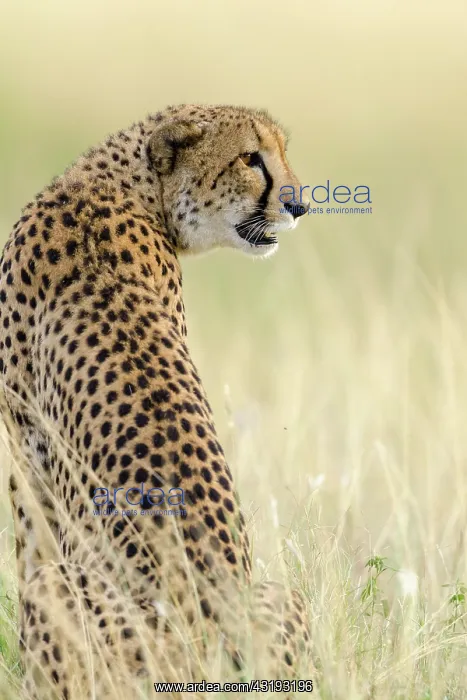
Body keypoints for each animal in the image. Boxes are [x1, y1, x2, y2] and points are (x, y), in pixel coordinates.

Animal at [0, 103, 311, 699]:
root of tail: (201, 648)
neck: (122, 181)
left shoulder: (26, 452)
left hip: (72, 599)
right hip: (277, 598)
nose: (299, 205)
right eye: (251, 158)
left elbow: (27, 548)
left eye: (281, 153)